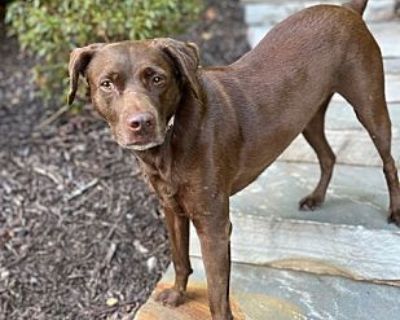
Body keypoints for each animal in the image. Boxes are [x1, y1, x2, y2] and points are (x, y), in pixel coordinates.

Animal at [68, 1, 400, 318]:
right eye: (107, 84)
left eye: (157, 78)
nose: (141, 123)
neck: (172, 137)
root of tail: (346, 9)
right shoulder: (172, 210)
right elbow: (179, 258)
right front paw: (176, 295)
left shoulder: (214, 226)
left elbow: (217, 294)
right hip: (308, 116)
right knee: (328, 155)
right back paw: (316, 198)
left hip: (369, 104)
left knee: (388, 161)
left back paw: (394, 212)